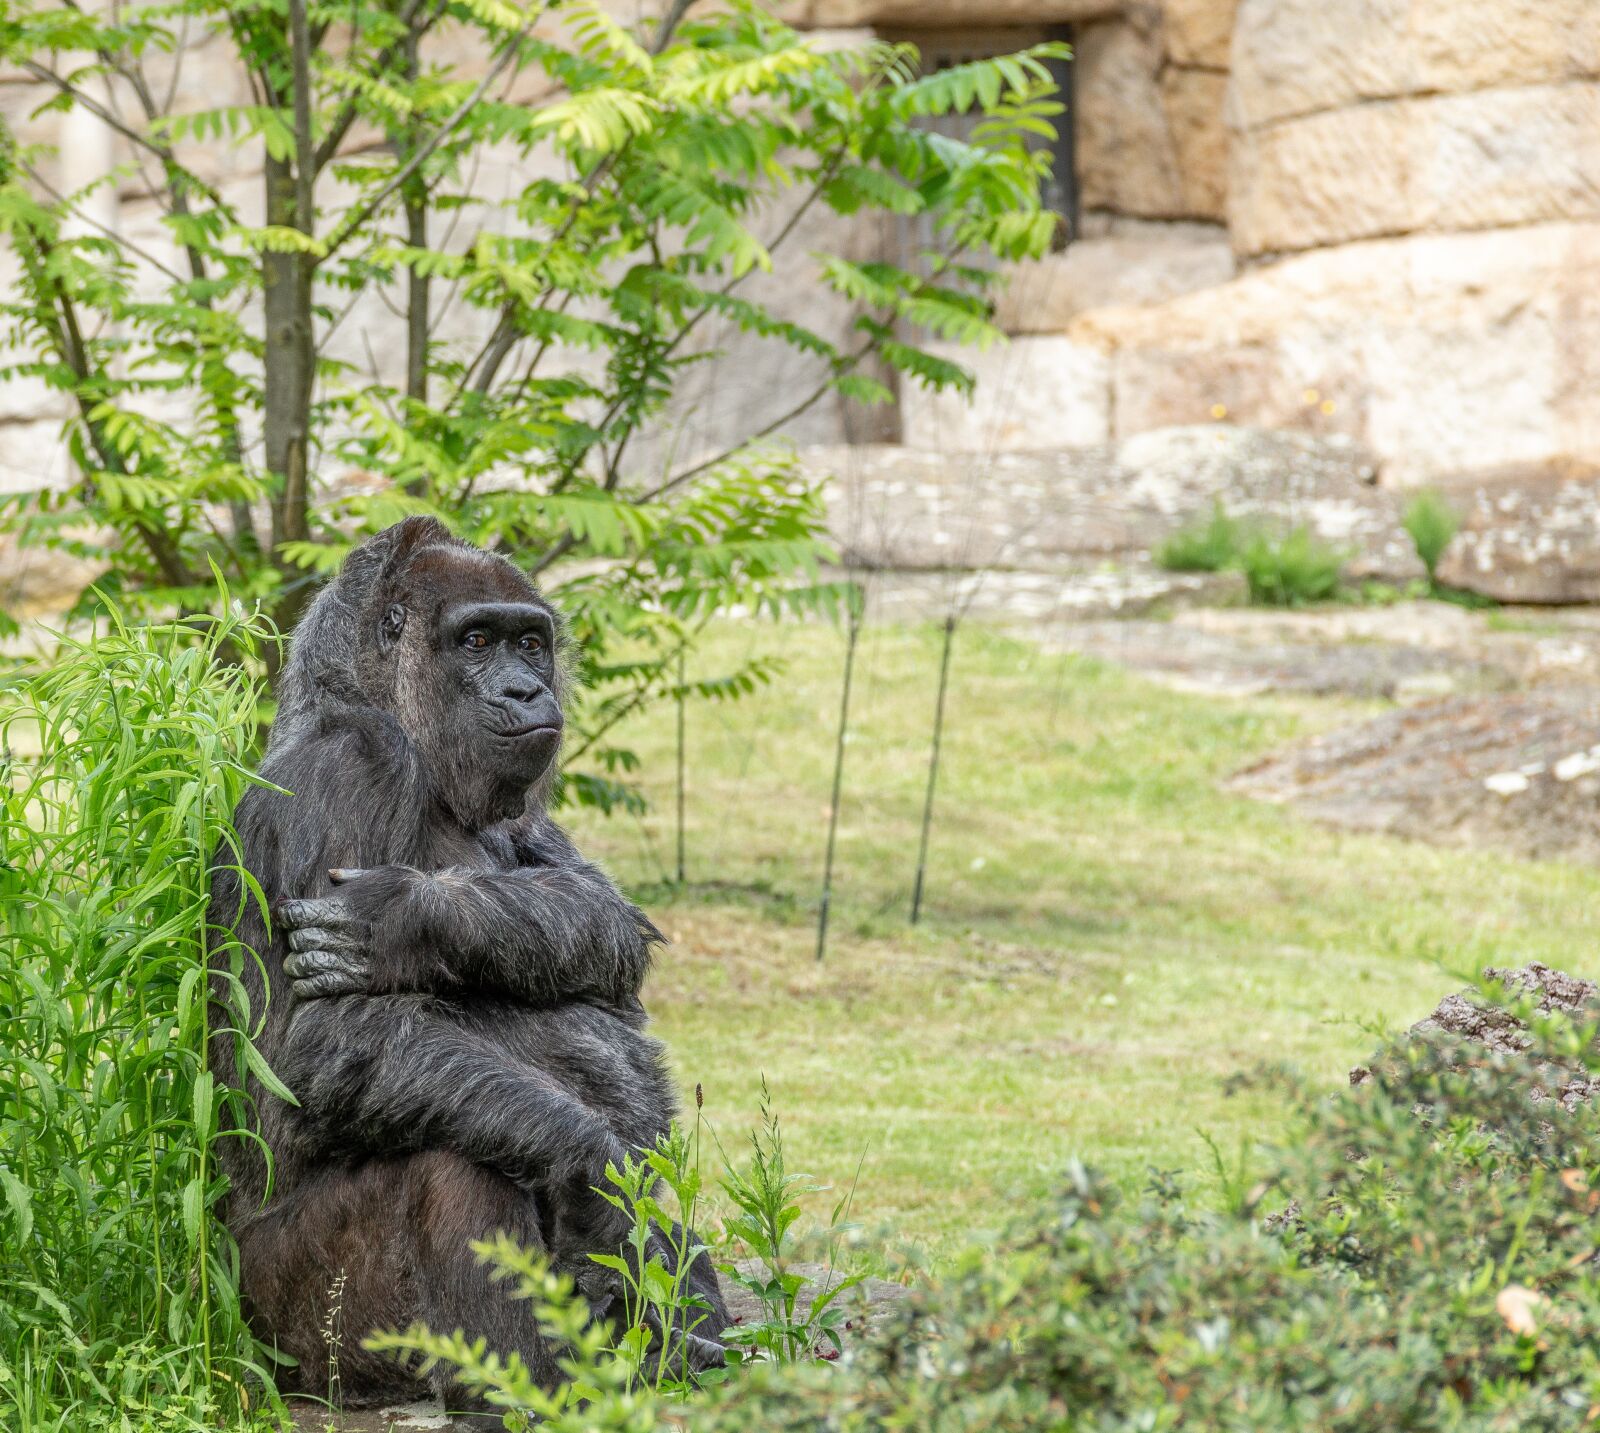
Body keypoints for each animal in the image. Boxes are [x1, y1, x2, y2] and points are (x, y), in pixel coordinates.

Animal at [209, 511, 729, 1401]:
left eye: (531, 643)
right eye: (477, 640)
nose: (525, 691)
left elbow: (607, 921)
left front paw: (413, 920)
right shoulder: (357, 764)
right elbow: (329, 1037)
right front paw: (589, 1166)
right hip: (299, 1327)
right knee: (457, 1155)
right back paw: (525, 1387)